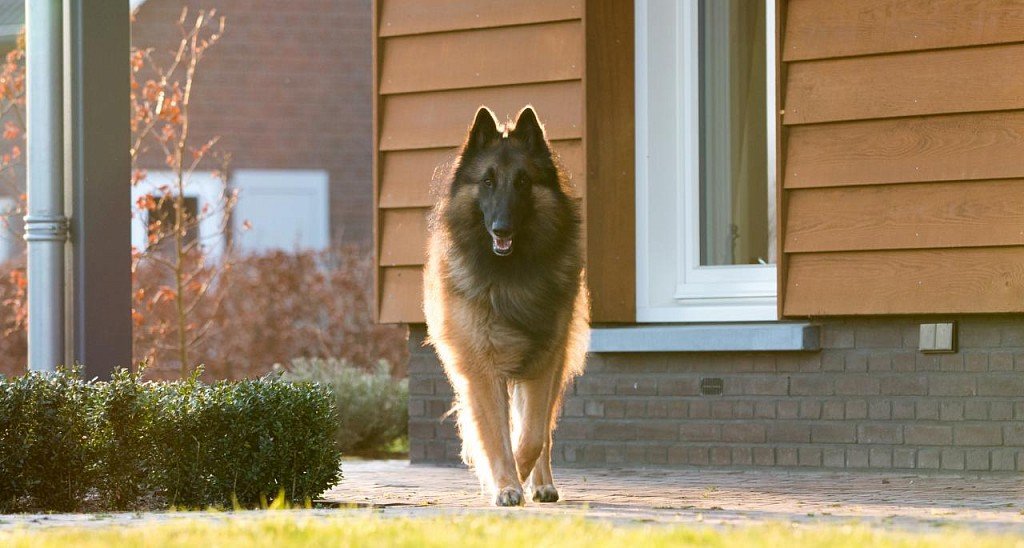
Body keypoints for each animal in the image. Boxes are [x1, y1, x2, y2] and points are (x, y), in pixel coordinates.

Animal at [421, 104, 585, 508]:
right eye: (487, 181)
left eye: (524, 182)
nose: (501, 229)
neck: (510, 277)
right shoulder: (482, 369)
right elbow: (497, 436)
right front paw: (504, 484)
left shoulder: (542, 365)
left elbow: (532, 437)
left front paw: (518, 479)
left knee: (542, 432)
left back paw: (541, 484)